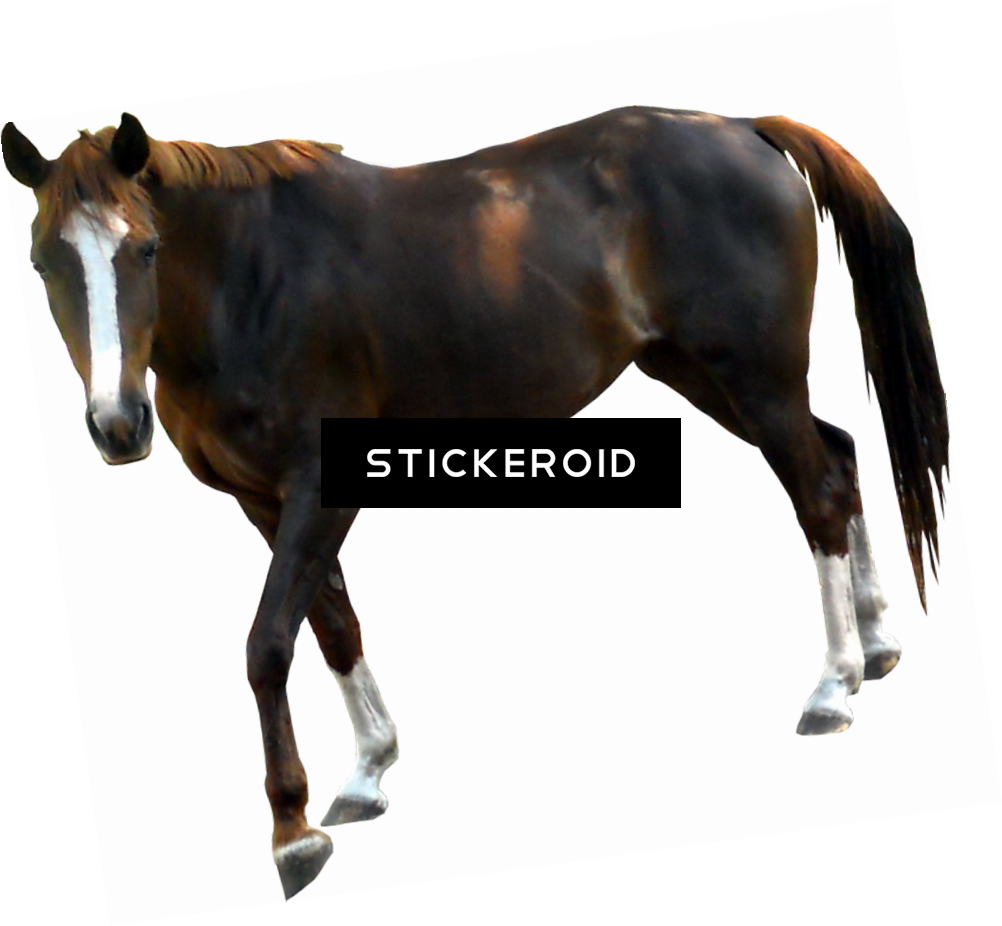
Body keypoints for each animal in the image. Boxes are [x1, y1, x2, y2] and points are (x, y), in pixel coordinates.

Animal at [1, 105, 948, 900]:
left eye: (143, 249)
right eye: (48, 262)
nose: (118, 425)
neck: (256, 278)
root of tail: (748, 128)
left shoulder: (319, 491)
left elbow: (268, 643)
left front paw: (293, 834)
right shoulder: (262, 503)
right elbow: (334, 625)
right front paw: (366, 774)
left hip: (753, 377)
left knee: (817, 494)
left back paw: (833, 686)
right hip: (706, 374)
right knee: (840, 456)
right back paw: (875, 641)